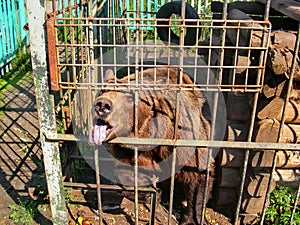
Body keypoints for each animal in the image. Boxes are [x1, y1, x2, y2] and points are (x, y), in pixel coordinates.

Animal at [89, 67, 213, 225]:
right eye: (103, 91)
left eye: (130, 97)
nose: (103, 105)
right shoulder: (127, 150)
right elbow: (124, 172)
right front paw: (147, 190)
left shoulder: (185, 138)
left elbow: (197, 176)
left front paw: (190, 218)